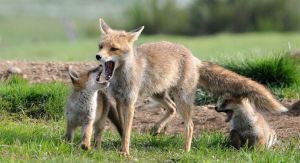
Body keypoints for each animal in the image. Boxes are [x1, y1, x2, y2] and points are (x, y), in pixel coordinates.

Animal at [95, 19, 288, 155]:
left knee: (190, 125)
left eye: (114, 49)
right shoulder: (119, 101)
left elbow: (127, 131)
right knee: (171, 109)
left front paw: (125, 152)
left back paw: (185, 150)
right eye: (101, 46)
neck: (120, 78)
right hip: (158, 94)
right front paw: (122, 148)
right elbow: (122, 128)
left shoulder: (130, 102)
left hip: (182, 100)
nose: (98, 56)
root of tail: (194, 58)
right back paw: (157, 129)